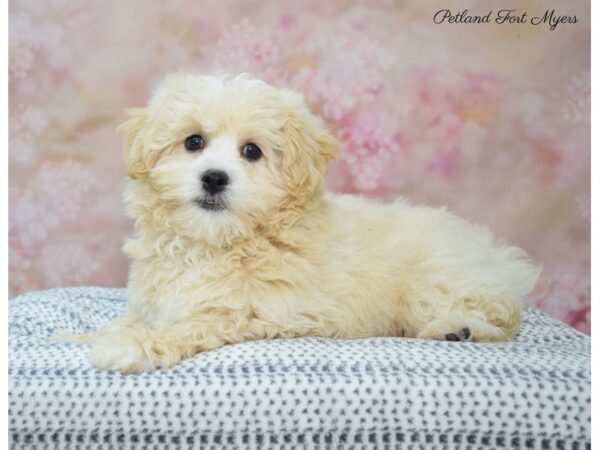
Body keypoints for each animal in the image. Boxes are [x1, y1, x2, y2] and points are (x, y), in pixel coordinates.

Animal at [70, 73, 540, 372]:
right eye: (193, 142)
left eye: (252, 151)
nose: (214, 177)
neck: (214, 243)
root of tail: (497, 256)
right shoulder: (151, 302)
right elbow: (131, 320)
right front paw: (90, 337)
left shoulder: (256, 313)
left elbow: (193, 325)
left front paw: (131, 348)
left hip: (436, 282)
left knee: (501, 315)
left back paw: (458, 330)